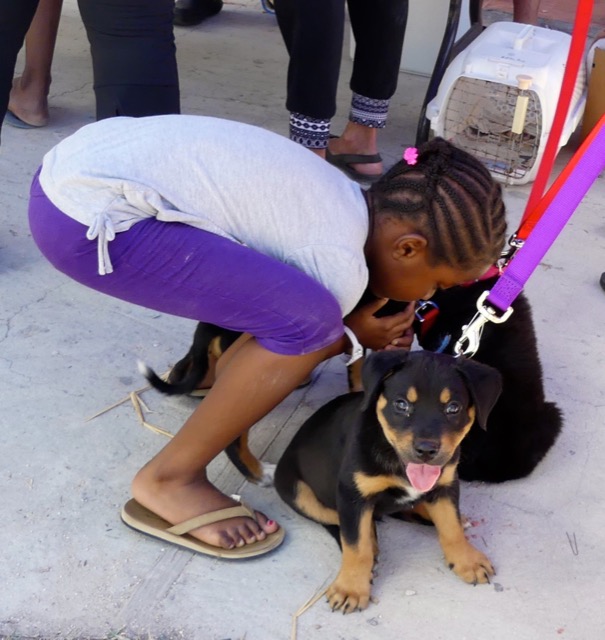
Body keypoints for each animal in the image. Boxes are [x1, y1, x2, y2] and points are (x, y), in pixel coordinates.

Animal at [274, 350, 500, 616]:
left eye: (453, 408)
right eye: (401, 404)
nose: (426, 450)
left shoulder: (446, 485)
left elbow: (451, 527)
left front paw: (467, 561)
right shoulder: (352, 494)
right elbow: (356, 546)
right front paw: (351, 588)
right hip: (298, 491)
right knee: (338, 522)